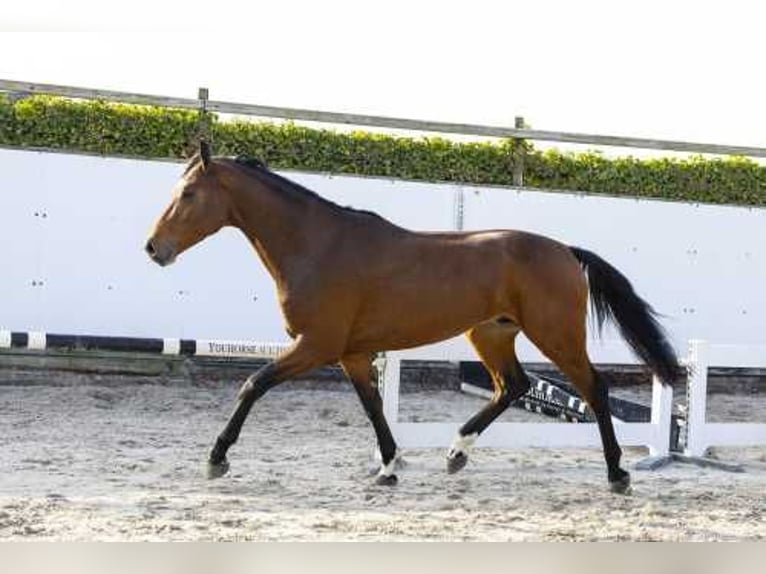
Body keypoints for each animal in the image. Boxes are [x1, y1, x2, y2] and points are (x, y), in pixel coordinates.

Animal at [147, 141, 680, 496]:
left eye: (189, 194)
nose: (154, 248)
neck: (317, 245)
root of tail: (566, 251)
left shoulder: (316, 345)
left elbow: (252, 385)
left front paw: (216, 458)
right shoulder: (351, 353)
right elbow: (372, 407)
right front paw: (387, 467)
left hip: (556, 334)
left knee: (593, 388)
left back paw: (617, 474)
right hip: (490, 334)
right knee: (514, 385)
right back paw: (457, 452)